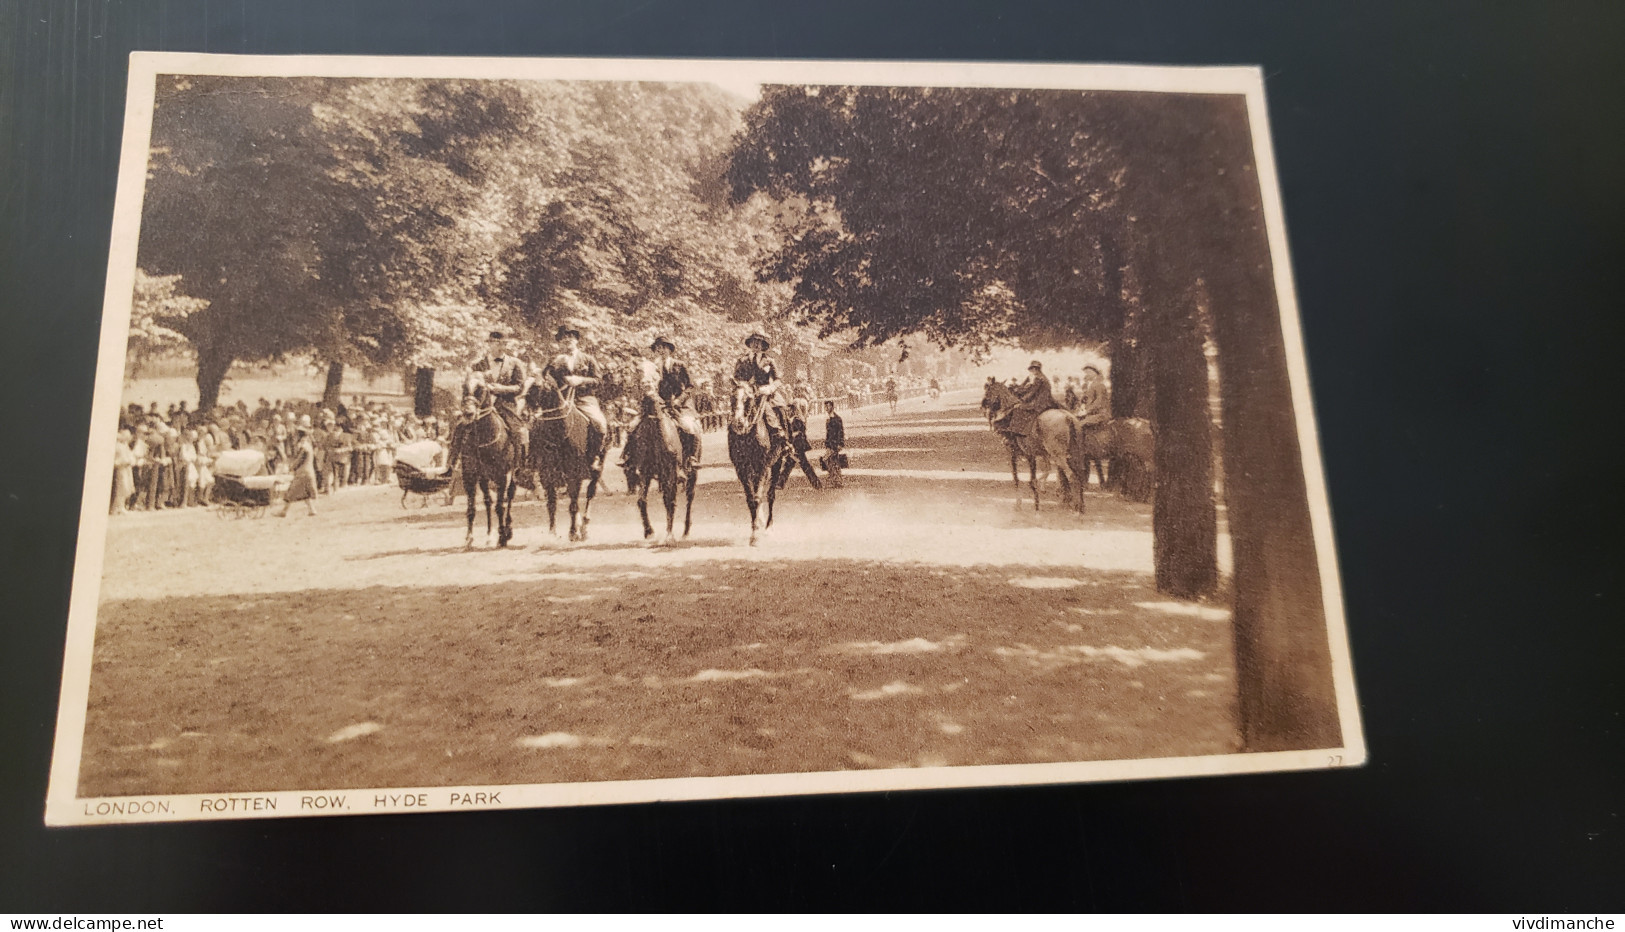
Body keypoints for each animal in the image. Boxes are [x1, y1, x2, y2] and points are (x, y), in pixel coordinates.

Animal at [458, 383, 513, 552]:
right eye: (464, 386)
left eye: (480, 388)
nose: (468, 413)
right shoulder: (469, 477)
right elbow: (471, 509)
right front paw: (469, 539)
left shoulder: (502, 476)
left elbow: (500, 507)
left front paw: (502, 537)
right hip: (484, 479)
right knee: (488, 501)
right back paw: (489, 535)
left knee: (509, 497)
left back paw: (508, 530)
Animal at [526, 378, 604, 545]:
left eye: (538, 386)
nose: (526, 413)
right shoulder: (547, 475)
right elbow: (552, 504)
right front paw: (552, 532)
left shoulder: (574, 474)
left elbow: (573, 505)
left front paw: (573, 532)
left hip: (596, 471)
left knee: (590, 493)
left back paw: (584, 526)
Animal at [620, 392, 698, 548]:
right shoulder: (645, 473)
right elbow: (642, 500)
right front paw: (649, 532)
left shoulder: (671, 473)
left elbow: (670, 501)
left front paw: (669, 536)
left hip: (691, 474)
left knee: (689, 498)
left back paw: (686, 531)